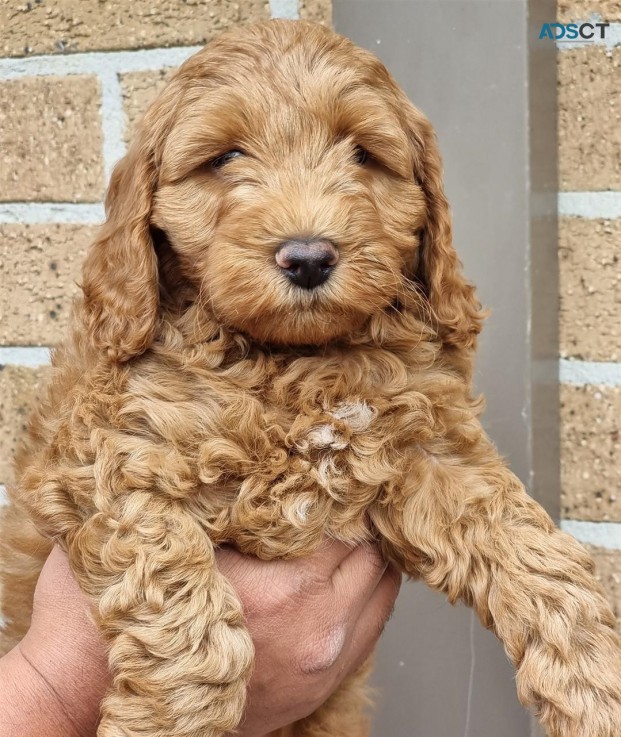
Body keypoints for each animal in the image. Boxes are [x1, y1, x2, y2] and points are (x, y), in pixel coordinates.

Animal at [1, 17, 620, 736]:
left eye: (362, 155)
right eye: (224, 159)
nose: (307, 256)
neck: (291, 364)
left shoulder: (426, 453)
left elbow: (530, 548)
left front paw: (595, 686)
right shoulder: (110, 461)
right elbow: (179, 601)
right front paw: (169, 720)